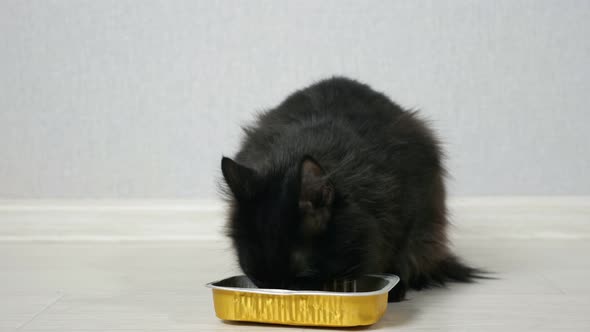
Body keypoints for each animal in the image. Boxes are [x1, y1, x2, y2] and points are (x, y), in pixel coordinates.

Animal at [220, 77, 484, 300]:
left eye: (300, 279)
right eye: (257, 277)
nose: (276, 294)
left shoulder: (409, 213)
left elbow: (398, 259)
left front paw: (395, 291)